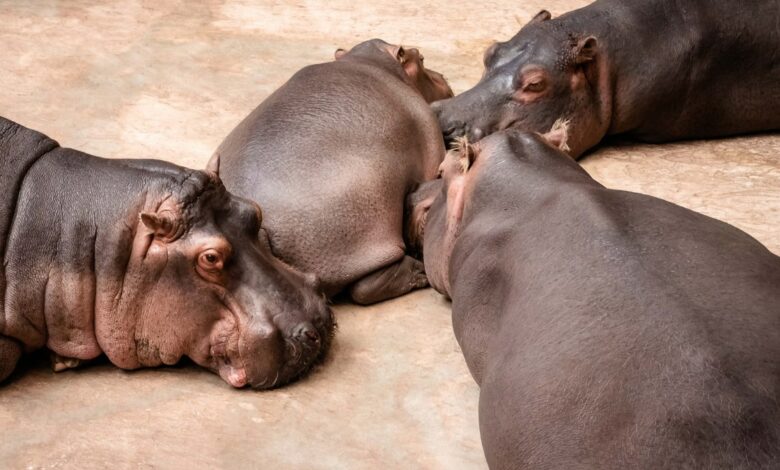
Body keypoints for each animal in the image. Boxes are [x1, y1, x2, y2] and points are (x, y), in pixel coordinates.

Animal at [213, 39, 454, 304]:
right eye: (421, 58)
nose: (443, 76)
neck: (370, 61)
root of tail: (260, 226)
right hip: (368, 233)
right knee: (366, 286)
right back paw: (418, 271)